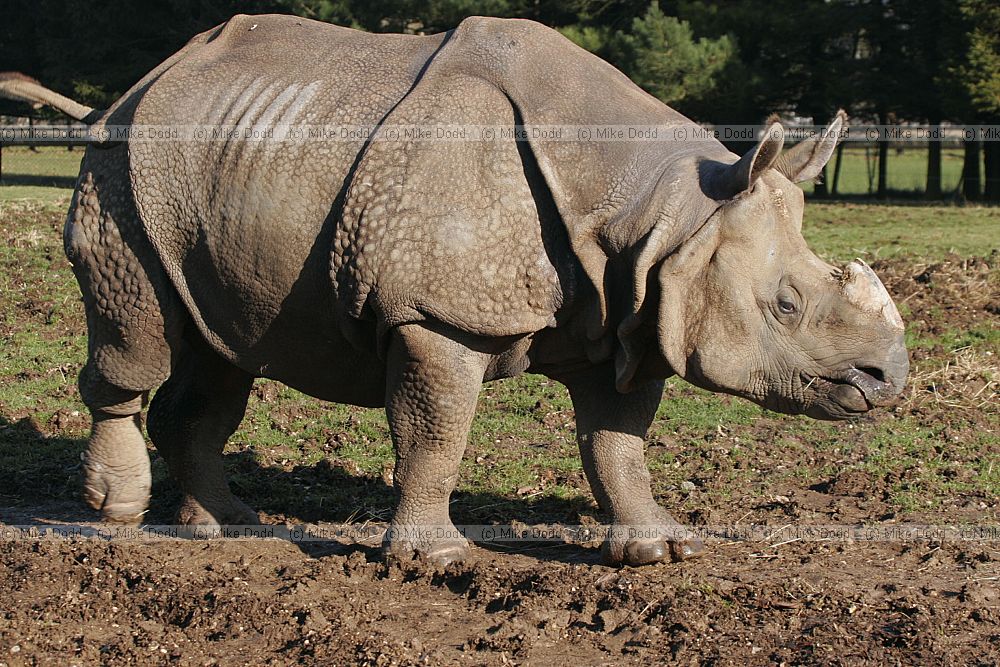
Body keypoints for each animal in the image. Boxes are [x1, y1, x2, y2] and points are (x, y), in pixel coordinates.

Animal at [10, 14, 907, 566]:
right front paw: (435, 559)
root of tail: (126, 93)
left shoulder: (627, 314)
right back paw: (120, 515)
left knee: (221, 348)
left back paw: (229, 528)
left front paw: (659, 549)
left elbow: (617, 445)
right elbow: (435, 434)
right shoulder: (435, 314)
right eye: (786, 305)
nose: (888, 381)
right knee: (140, 333)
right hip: (126, 171)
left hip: (220, 169)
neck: (660, 213)